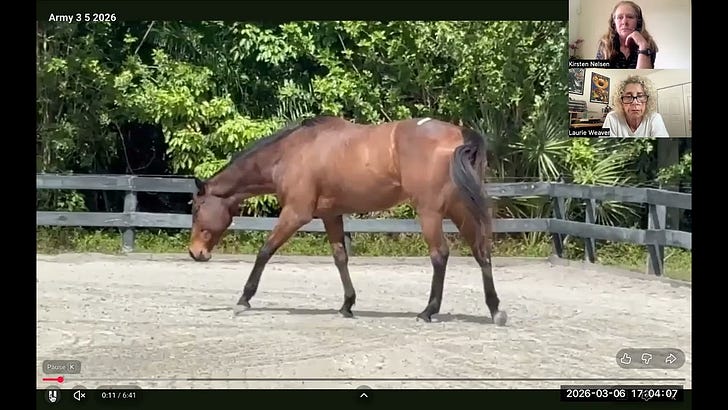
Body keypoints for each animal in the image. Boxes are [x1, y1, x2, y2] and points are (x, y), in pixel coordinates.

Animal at [188, 116, 507, 326]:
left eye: (196, 208)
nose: (195, 253)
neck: (291, 152)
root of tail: (460, 135)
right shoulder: (332, 215)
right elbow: (340, 258)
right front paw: (347, 304)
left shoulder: (296, 213)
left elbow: (265, 251)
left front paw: (244, 300)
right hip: (462, 209)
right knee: (482, 252)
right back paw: (495, 310)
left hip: (430, 213)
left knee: (440, 255)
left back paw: (428, 311)